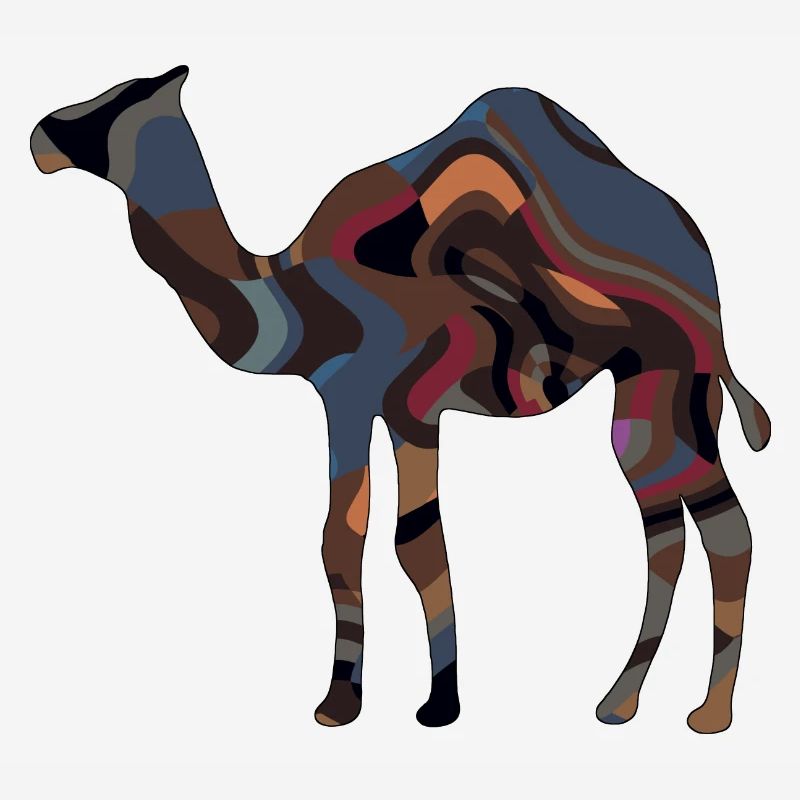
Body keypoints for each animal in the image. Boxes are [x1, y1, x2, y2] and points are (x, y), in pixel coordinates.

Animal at [30, 65, 770, 732]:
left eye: (111, 101)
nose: (38, 136)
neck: (290, 296)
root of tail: (700, 259)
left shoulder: (350, 392)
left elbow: (343, 540)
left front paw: (341, 704)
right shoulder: (410, 412)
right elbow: (418, 542)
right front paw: (440, 703)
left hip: (668, 368)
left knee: (716, 525)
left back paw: (708, 714)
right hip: (657, 385)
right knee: (670, 523)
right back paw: (621, 703)